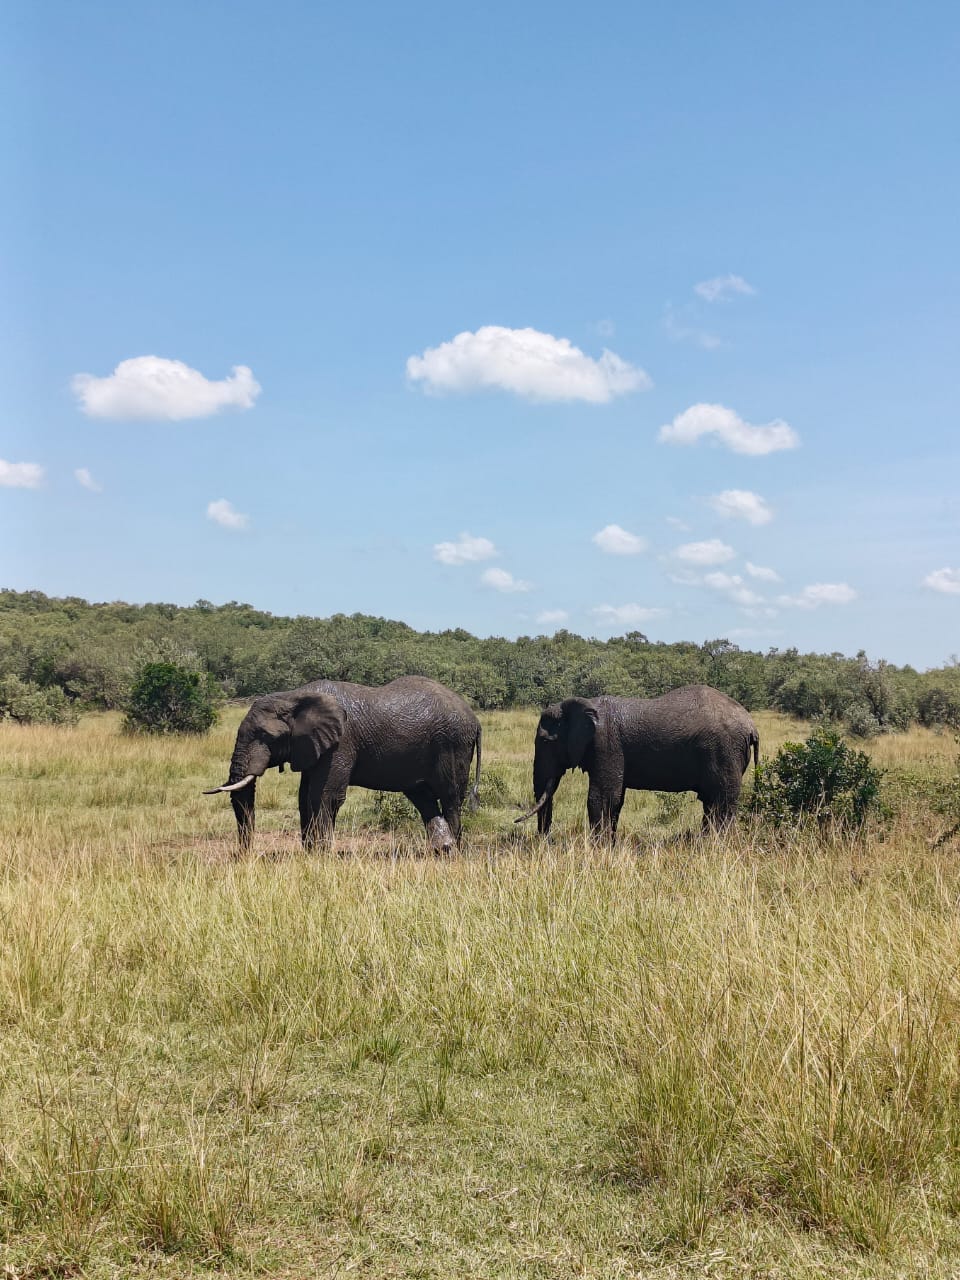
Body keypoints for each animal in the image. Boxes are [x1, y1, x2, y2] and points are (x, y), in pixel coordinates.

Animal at [204, 676, 482, 854]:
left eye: (264, 736)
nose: (244, 855)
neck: (293, 697)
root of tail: (475, 719)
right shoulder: (313, 746)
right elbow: (304, 796)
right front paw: (310, 853)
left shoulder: (341, 742)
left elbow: (324, 796)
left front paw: (322, 855)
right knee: (423, 797)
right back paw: (441, 849)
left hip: (452, 744)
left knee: (449, 796)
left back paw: (453, 852)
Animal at [517, 684, 759, 840]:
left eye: (546, 742)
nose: (545, 842)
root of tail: (751, 726)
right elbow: (616, 800)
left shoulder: (606, 743)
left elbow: (601, 798)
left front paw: (599, 849)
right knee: (711, 802)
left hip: (725, 750)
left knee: (721, 801)